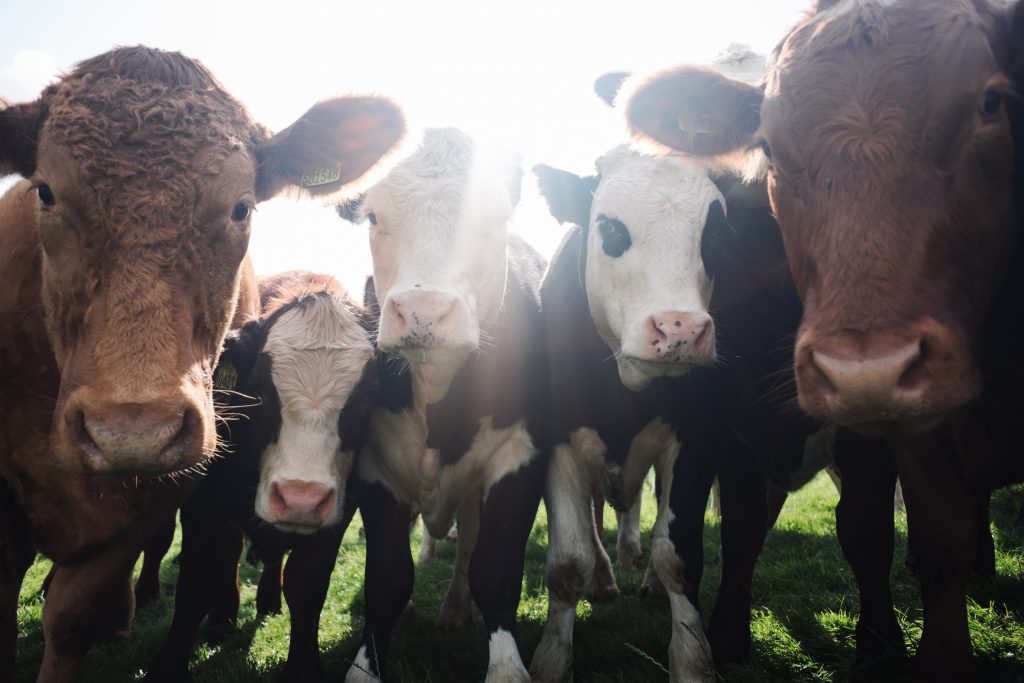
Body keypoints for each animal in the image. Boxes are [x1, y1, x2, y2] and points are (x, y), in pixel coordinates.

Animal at [146, 271, 379, 681]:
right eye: (261, 390)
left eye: (367, 396)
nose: (300, 498)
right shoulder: (205, 502)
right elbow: (197, 579)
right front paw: (168, 665)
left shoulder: (339, 512)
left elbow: (307, 585)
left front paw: (303, 668)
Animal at [343, 127, 548, 682]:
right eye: (374, 216)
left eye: (495, 218)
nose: (423, 312)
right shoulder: (375, 467)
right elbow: (387, 579)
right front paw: (365, 666)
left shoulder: (520, 455)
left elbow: (494, 570)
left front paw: (506, 667)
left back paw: (455, 609)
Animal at [530, 133, 819, 682]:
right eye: (610, 227)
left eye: (716, 235)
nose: (680, 329)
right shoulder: (558, 438)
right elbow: (569, 562)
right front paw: (552, 661)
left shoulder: (695, 441)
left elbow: (677, 555)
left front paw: (691, 660)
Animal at [620, 1, 1024, 680]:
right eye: (766, 141)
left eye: (992, 103)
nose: (869, 369)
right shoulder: (730, 422)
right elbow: (743, 527)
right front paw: (728, 637)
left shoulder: (870, 433)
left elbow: (866, 529)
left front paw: (881, 645)